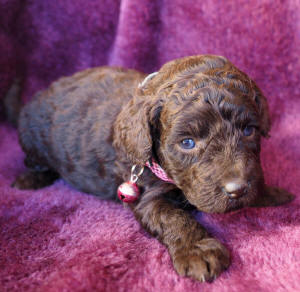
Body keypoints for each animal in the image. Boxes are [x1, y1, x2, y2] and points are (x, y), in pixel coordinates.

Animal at [13, 55, 292, 282]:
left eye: (249, 130)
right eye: (187, 142)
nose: (238, 189)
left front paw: (270, 193)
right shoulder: (147, 196)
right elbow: (174, 218)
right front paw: (199, 251)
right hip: (31, 138)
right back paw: (30, 179)